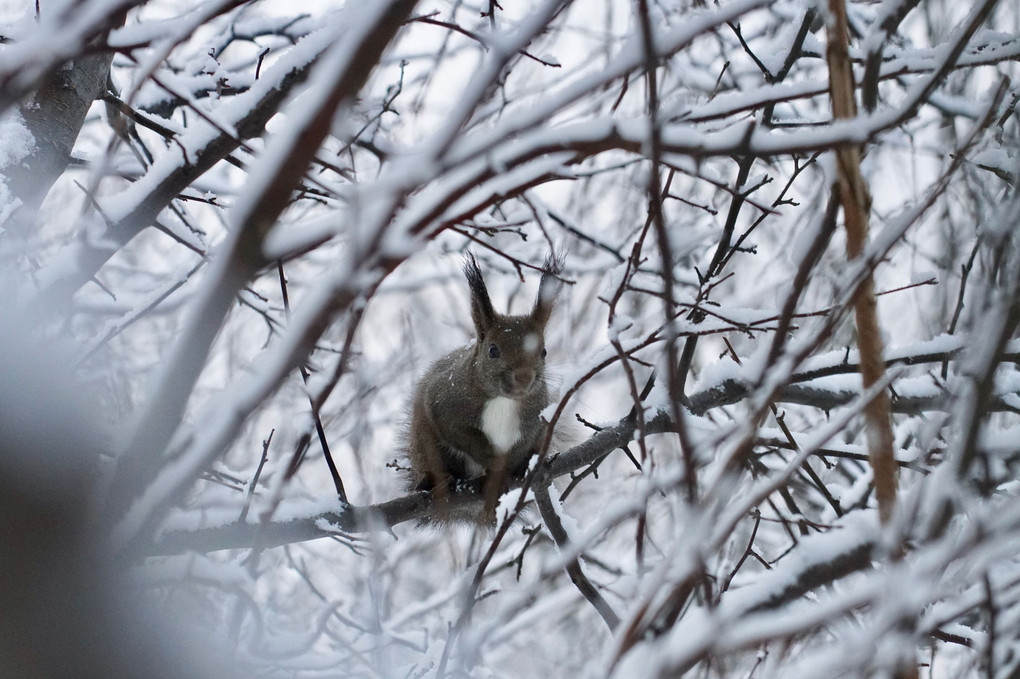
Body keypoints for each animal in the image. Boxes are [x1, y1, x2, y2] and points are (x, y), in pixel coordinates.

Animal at [405, 253, 563, 513]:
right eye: (493, 350)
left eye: (544, 352)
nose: (524, 376)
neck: (503, 400)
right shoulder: (445, 404)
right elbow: (462, 436)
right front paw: (494, 468)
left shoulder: (534, 416)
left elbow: (521, 444)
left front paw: (508, 471)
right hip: (424, 441)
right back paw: (437, 481)